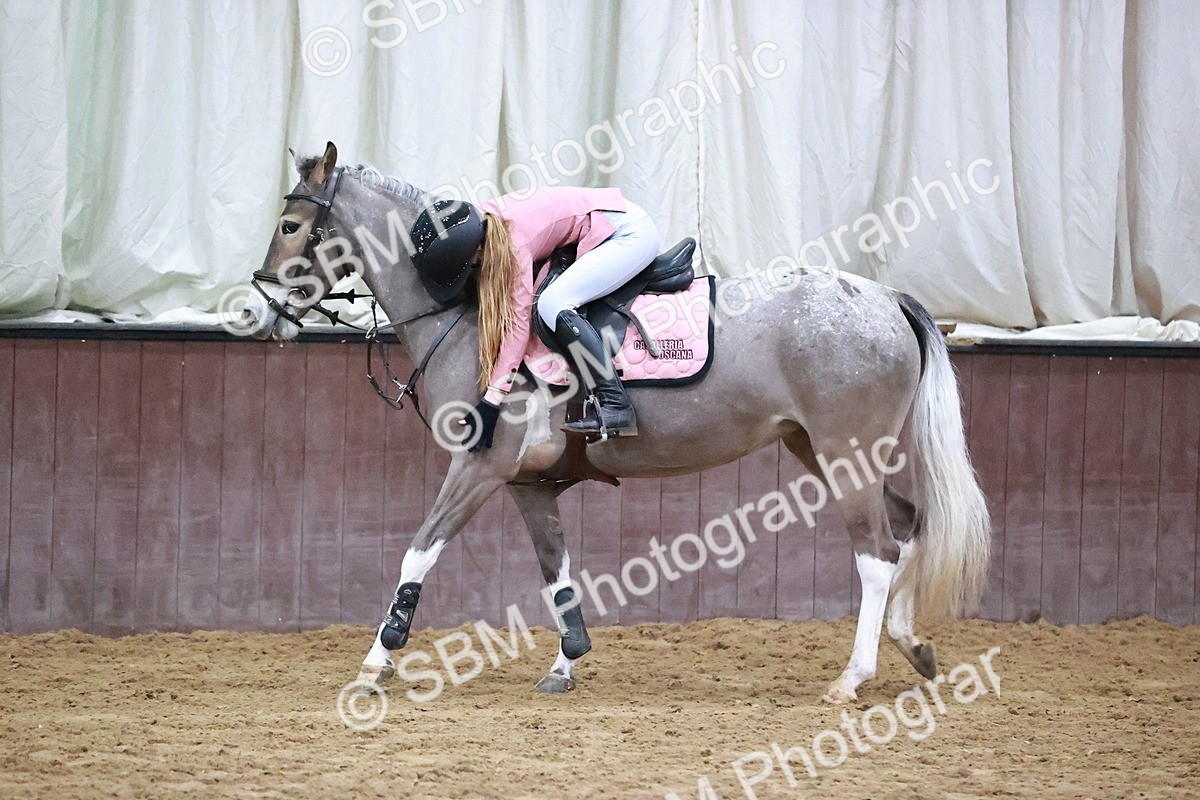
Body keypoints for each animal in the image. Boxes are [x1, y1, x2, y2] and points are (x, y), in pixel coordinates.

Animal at [239, 142, 990, 704]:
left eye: (290, 227)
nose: (254, 312)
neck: (467, 306)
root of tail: (884, 296)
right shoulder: (528, 485)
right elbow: (557, 575)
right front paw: (567, 661)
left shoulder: (479, 466)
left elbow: (416, 553)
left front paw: (378, 660)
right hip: (823, 450)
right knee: (908, 524)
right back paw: (913, 646)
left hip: (843, 449)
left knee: (877, 552)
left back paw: (852, 677)